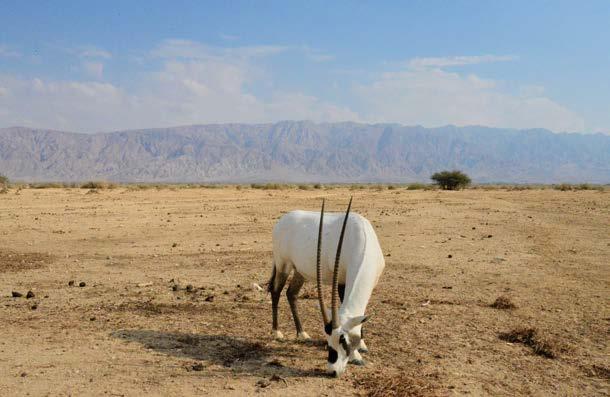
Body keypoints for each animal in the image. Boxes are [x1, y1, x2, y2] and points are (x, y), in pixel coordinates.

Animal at [268, 198, 382, 378]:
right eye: (329, 341)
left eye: (343, 340)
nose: (333, 371)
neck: (361, 239)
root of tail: (282, 220)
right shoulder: (342, 280)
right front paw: (357, 357)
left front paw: (362, 345)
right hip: (283, 265)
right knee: (276, 291)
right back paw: (277, 332)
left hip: (300, 270)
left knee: (291, 294)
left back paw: (302, 333)